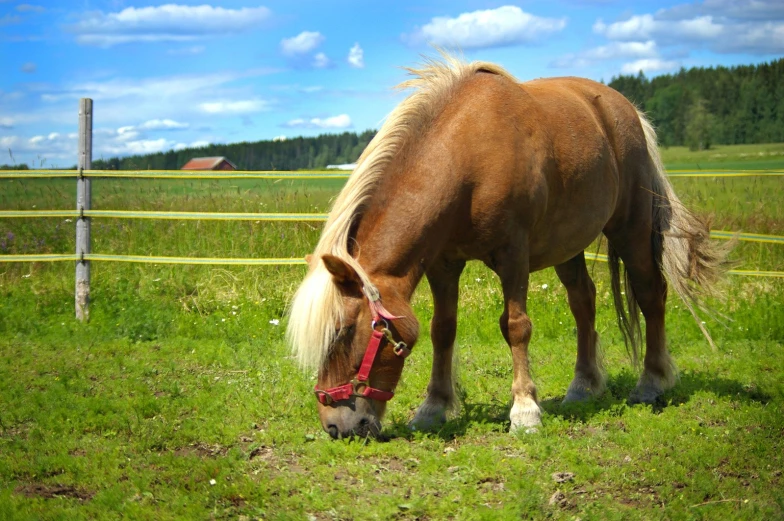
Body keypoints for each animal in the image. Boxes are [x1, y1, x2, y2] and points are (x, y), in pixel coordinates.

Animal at [286, 53, 728, 438]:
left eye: (344, 332)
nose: (334, 426)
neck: (467, 154)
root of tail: (630, 113)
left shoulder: (514, 255)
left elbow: (516, 327)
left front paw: (525, 411)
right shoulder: (443, 263)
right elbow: (442, 329)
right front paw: (433, 407)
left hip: (630, 228)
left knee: (651, 294)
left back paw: (651, 383)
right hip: (568, 245)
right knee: (583, 301)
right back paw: (583, 386)